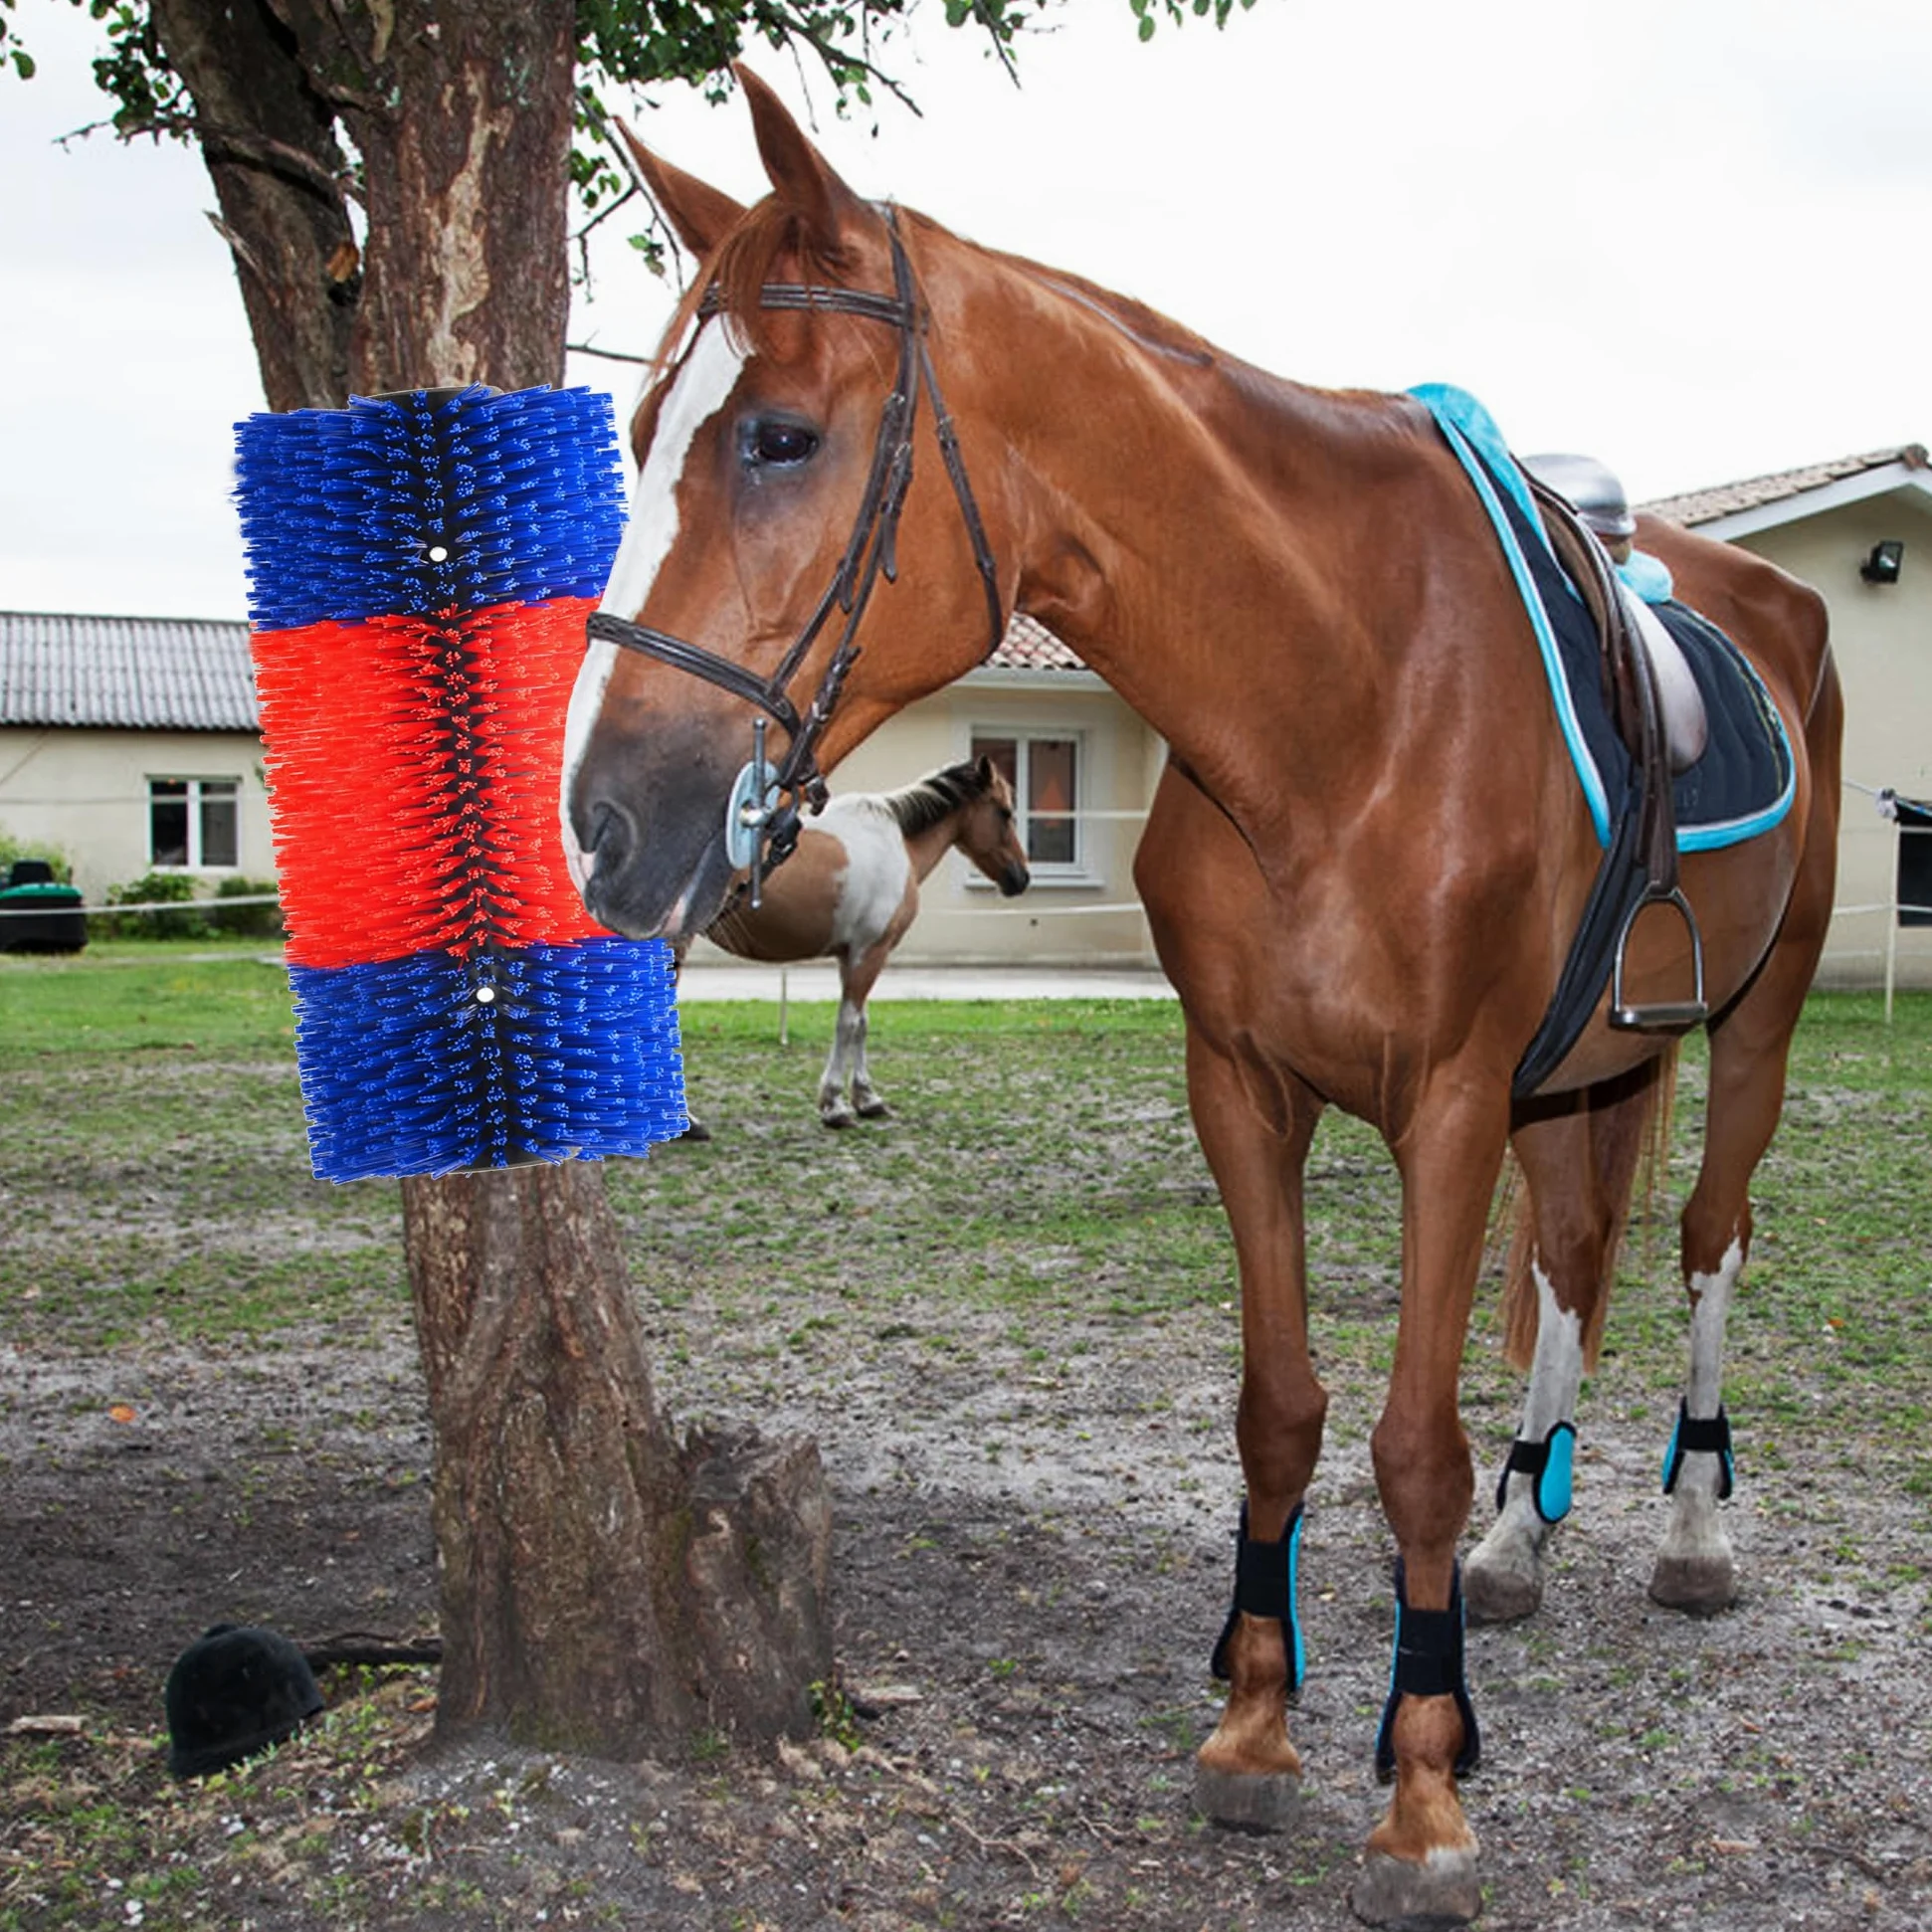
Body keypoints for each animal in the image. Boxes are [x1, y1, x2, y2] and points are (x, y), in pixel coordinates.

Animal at [687, 755, 1028, 1126]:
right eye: (1004, 812)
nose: (1021, 877)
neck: (897, 843)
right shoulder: (872, 951)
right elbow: (847, 1023)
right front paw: (834, 1104)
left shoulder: (852, 955)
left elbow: (861, 1023)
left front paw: (867, 1098)